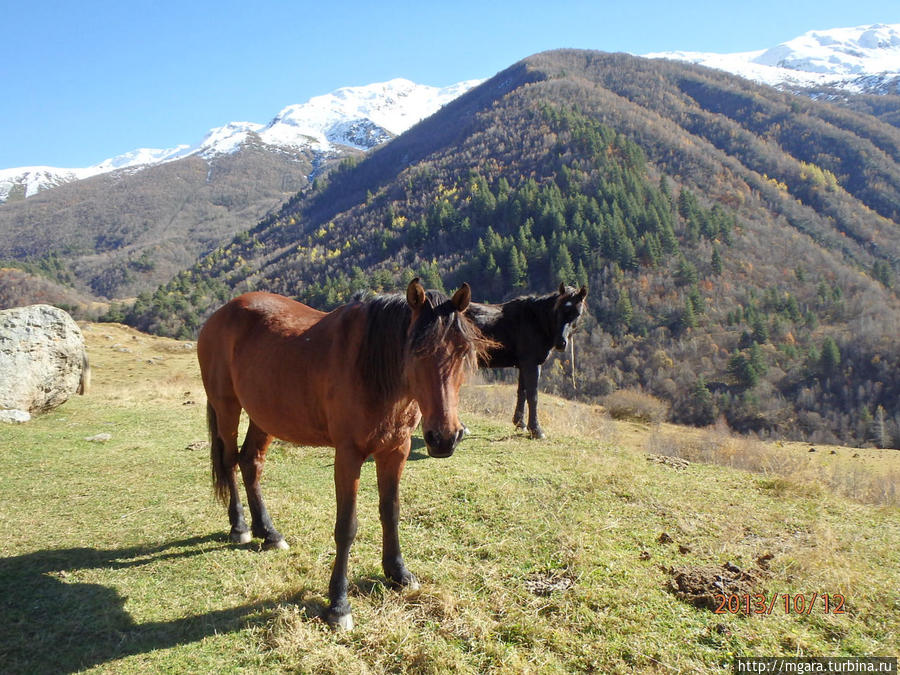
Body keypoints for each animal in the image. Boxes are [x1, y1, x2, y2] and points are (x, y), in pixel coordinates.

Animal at [198, 278, 486, 632]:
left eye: (462, 352)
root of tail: (220, 313)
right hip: (227, 406)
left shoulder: (396, 450)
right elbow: (346, 527)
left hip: (263, 416)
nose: (444, 438)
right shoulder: (348, 456)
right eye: (417, 350)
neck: (372, 367)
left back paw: (269, 533)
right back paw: (240, 528)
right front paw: (338, 604)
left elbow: (391, 511)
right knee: (230, 462)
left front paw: (399, 573)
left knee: (251, 463)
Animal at [468, 282, 588, 440]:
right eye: (558, 310)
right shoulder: (531, 364)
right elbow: (533, 395)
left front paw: (520, 424)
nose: (561, 344)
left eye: (577, 313)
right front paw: (536, 430)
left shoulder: (523, 365)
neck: (535, 321)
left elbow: (522, 392)